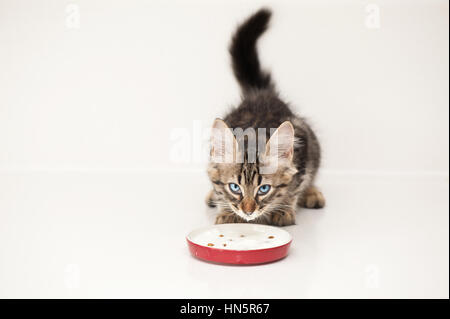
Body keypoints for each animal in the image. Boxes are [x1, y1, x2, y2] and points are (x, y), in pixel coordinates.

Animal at [206, 8, 326, 228]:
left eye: (264, 189)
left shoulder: (303, 149)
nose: (248, 211)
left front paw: (284, 209)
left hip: (314, 145)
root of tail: (262, 93)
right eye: (234, 187)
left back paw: (312, 193)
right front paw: (226, 211)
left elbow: (296, 184)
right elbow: (218, 186)